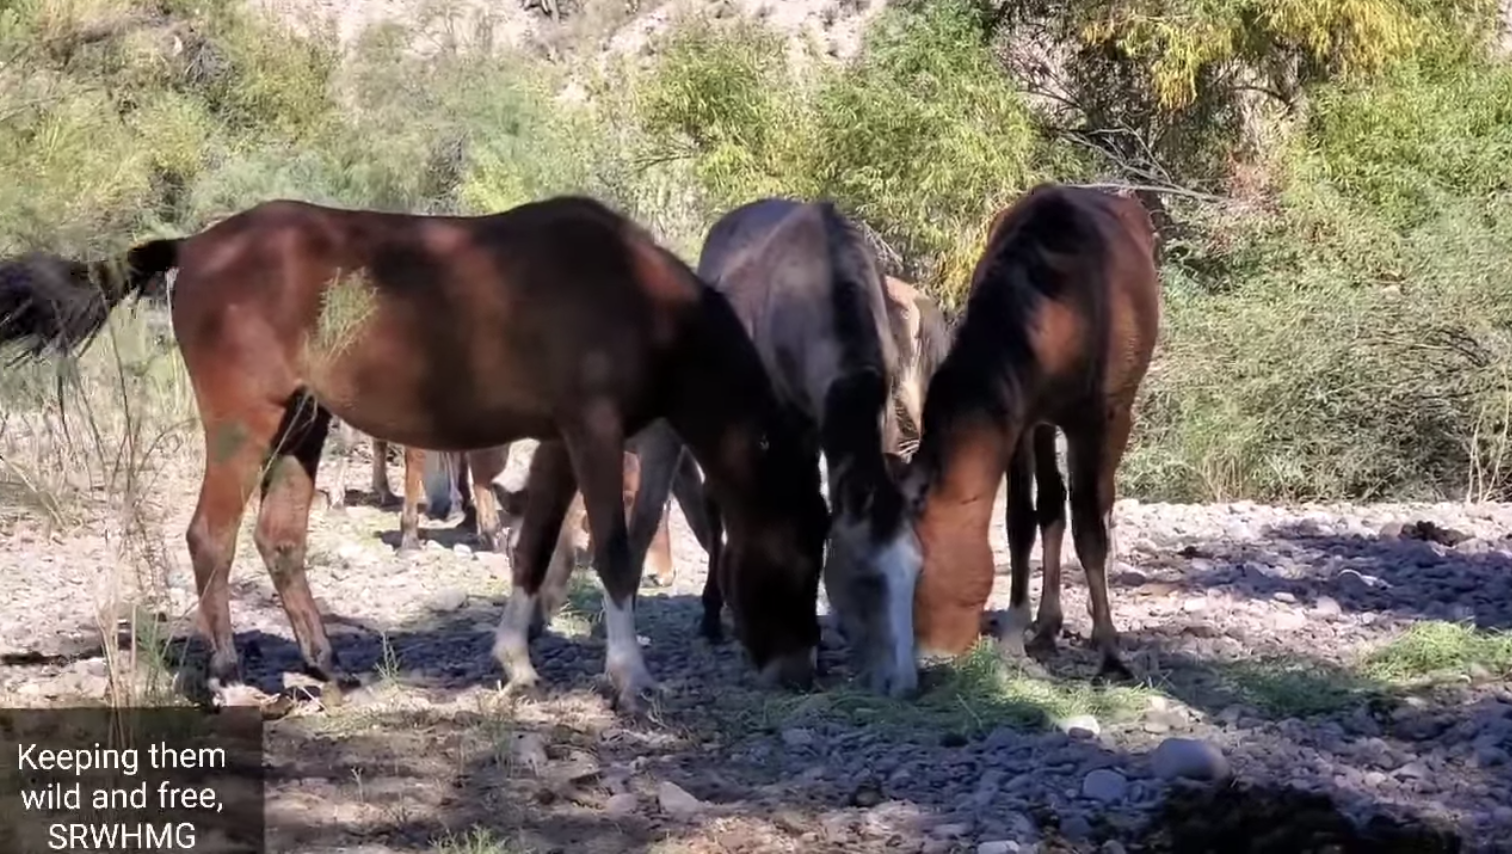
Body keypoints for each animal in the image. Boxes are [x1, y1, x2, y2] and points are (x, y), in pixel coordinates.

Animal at [0, 195, 832, 711]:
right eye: (802, 545)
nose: (801, 670)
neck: (632, 296)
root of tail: (197, 245)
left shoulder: (559, 441)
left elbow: (533, 547)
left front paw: (516, 663)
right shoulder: (593, 432)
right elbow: (615, 554)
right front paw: (628, 677)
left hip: (303, 424)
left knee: (279, 537)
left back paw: (325, 663)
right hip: (245, 423)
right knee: (212, 534)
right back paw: (229, 672)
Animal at [613, 198, 920, 697]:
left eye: (916, 571)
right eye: (867, 579)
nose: (904, 683)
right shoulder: (779, 427)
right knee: (714, 506)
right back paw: (711, 616)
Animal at [900, 183, 1160, 680]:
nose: (927, 654)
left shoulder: (1092, 421)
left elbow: (1089, 529)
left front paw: (1110, 653)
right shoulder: (1018, 421)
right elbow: (1021, 519)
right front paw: (1015, 633)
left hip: (1117, 415)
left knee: (1099, 501)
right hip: (1043, 425)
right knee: (1053, 505)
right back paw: (1046, 624)